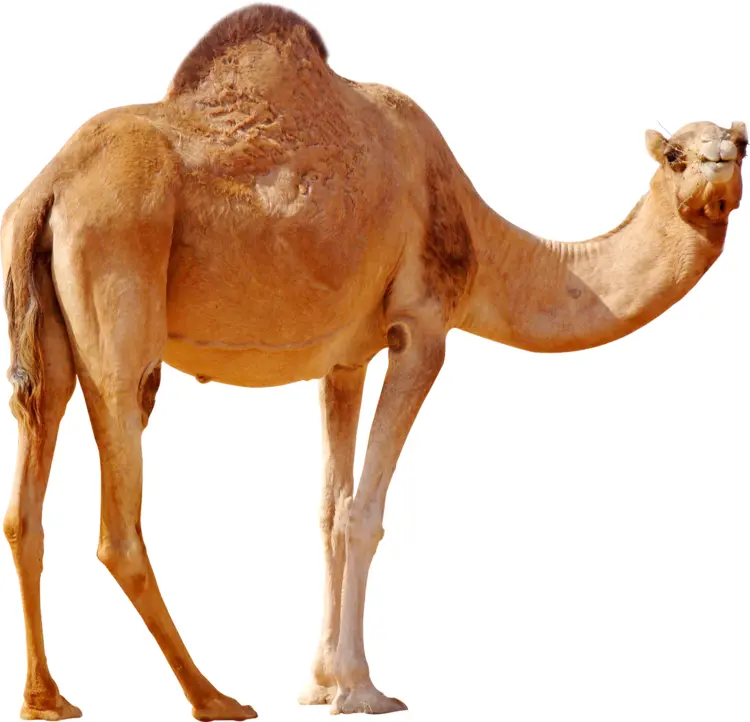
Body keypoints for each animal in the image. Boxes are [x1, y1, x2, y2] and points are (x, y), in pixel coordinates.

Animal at [1, 3, 745, 720]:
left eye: (740, 145)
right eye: (675, 154)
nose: (717, 170)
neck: (478, 237)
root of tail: (48, 189)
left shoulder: (344, 362)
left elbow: (330, 509)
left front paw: (319, 684)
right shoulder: (421, 329)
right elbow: (365, 512)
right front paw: (361, 690)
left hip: (46, 335)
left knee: (25, 502)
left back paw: (49, 700)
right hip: (119, 290)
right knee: (118, 522)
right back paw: (215, 699)